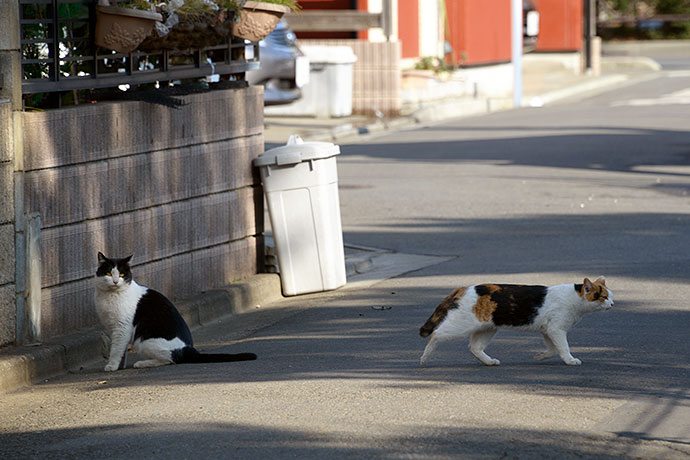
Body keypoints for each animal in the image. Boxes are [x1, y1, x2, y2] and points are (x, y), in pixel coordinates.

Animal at [94, 253, 255, 372]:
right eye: (108, 273)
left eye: (121, 274)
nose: (115, 281)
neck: (111, 296)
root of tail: (189, 349)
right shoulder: (114, 328)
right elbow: (121, 350)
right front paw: (120, 366)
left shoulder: (122, 328)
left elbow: (116, 349)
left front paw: (112, 366)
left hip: (143, 341)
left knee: (170, 359)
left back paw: (143, 363)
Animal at [416, 276, 612, 366]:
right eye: (603, 297)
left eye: (610, 296)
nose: (612, 303)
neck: (574, 298)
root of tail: (464, 287)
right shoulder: (557, 330)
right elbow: (563, 348)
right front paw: (570, 360)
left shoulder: (548, 330)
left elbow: (552, 349)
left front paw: (540, 356)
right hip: (461, 326)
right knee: (436, 334)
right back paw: (425, 358)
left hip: (487, 328)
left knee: (474, 347)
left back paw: (489, 361)